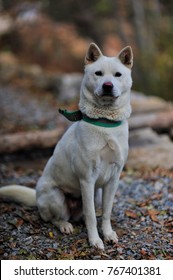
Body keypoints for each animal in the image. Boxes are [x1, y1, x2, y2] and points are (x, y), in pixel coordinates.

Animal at [0, 43, 133, 249]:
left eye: (117, 75)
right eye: (98, 73)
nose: (107, 85)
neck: (104, 123)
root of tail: (36, 197)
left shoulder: (113, 179)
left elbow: (106, 212)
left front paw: (108, 233)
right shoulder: (87, 179)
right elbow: (91, 216)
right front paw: (95, 240)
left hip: (94, 195)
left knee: (83, 214)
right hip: (56, 198)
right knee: (54, 218)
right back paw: (64, 225)